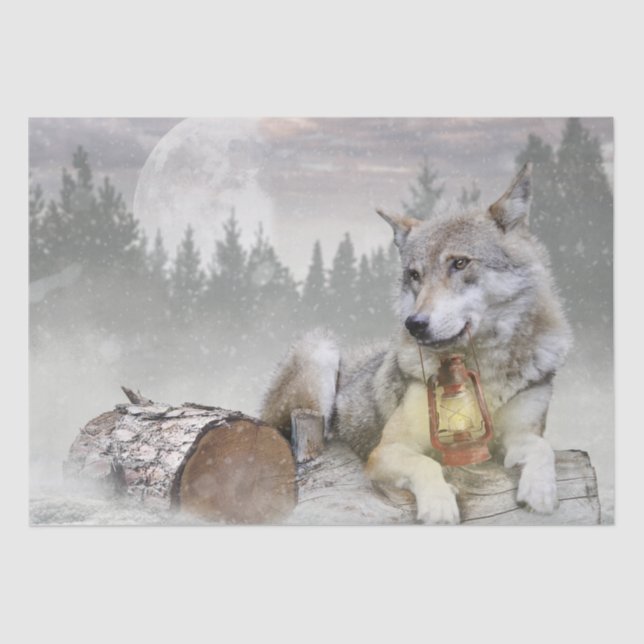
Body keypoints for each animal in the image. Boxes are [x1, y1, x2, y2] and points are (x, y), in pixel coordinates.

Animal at [261, 163, 571, 524]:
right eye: (414, 275)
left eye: (459, 263)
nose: (415, 324)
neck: (481, 369)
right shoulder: (389, 449)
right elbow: (426, 463)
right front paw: (439, 506)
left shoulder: (520, 434)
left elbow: (542, 448)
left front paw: (541, 492)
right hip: (320, 349)